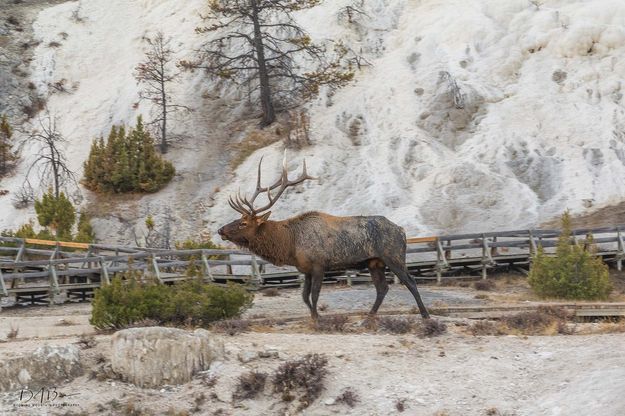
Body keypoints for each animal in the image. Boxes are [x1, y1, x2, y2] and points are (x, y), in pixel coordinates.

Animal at [216, 153, 428, 318]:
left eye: (243, 223)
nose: (221, 230)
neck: (290, 245)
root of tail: (402, 230)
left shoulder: (319, 265)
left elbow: (315, 295)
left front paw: (319, 319)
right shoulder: (305, 269)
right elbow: (304, 296)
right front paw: (313, 316)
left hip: (394, 256)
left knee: (410, 281)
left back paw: (425, 315)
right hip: (374, 262)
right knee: (382, 288)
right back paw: (369, 317)